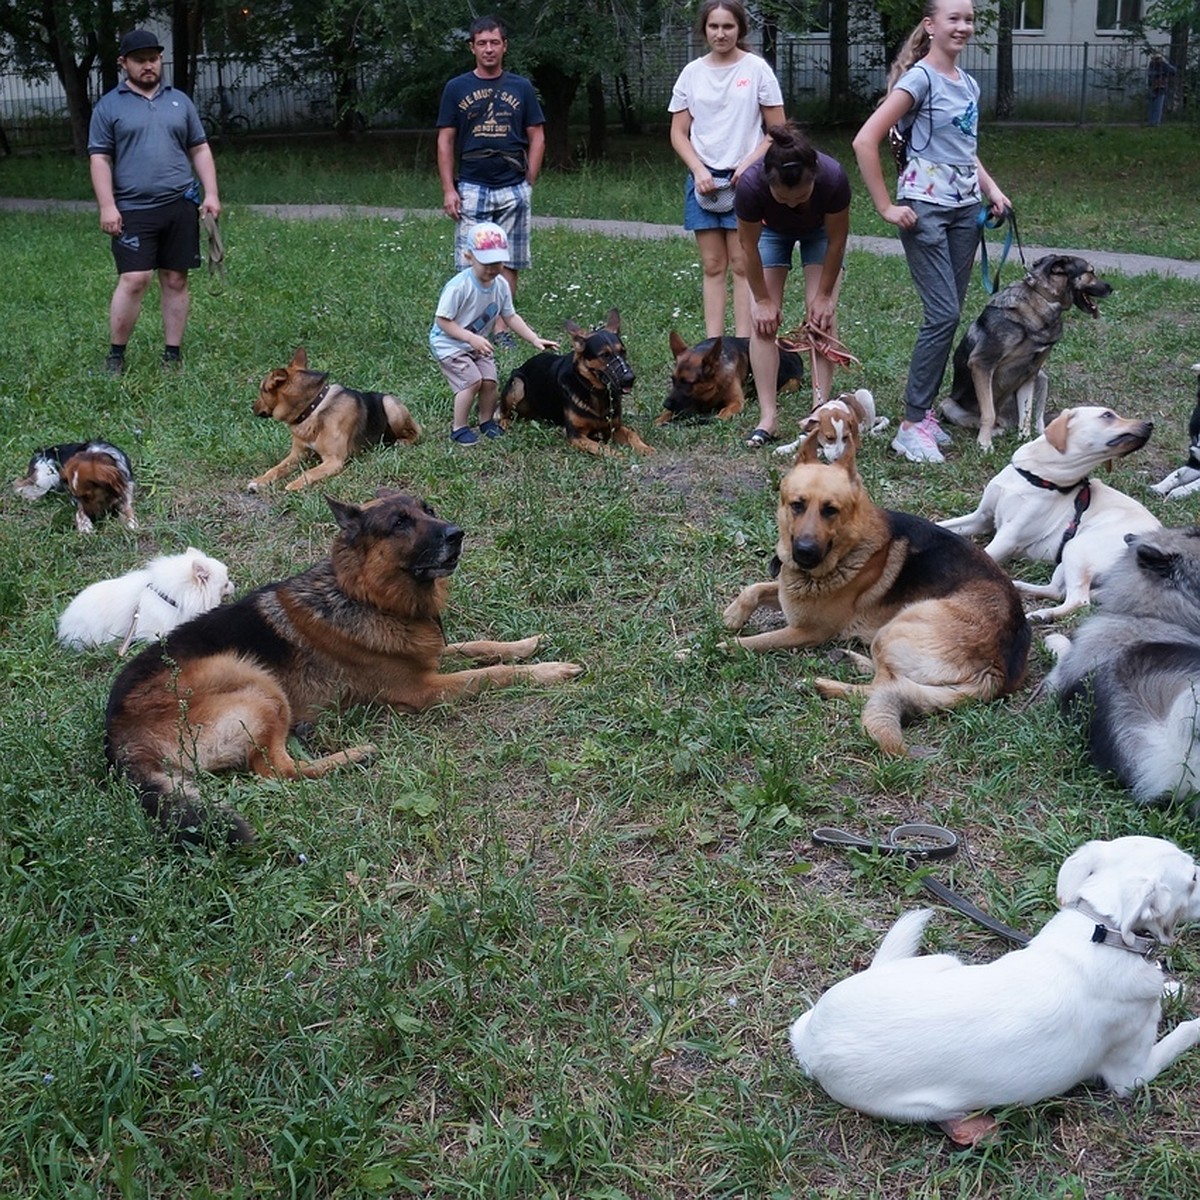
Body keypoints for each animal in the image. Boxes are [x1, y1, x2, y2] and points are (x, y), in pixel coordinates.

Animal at [792, 835, 1200, 1142]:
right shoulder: (1130, 1075)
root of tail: (810, 1043)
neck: (1102, 929)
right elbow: (1181, 1031)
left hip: (943, 961)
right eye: (1195, 876)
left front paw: (1174, 989)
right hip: (924, 1105)